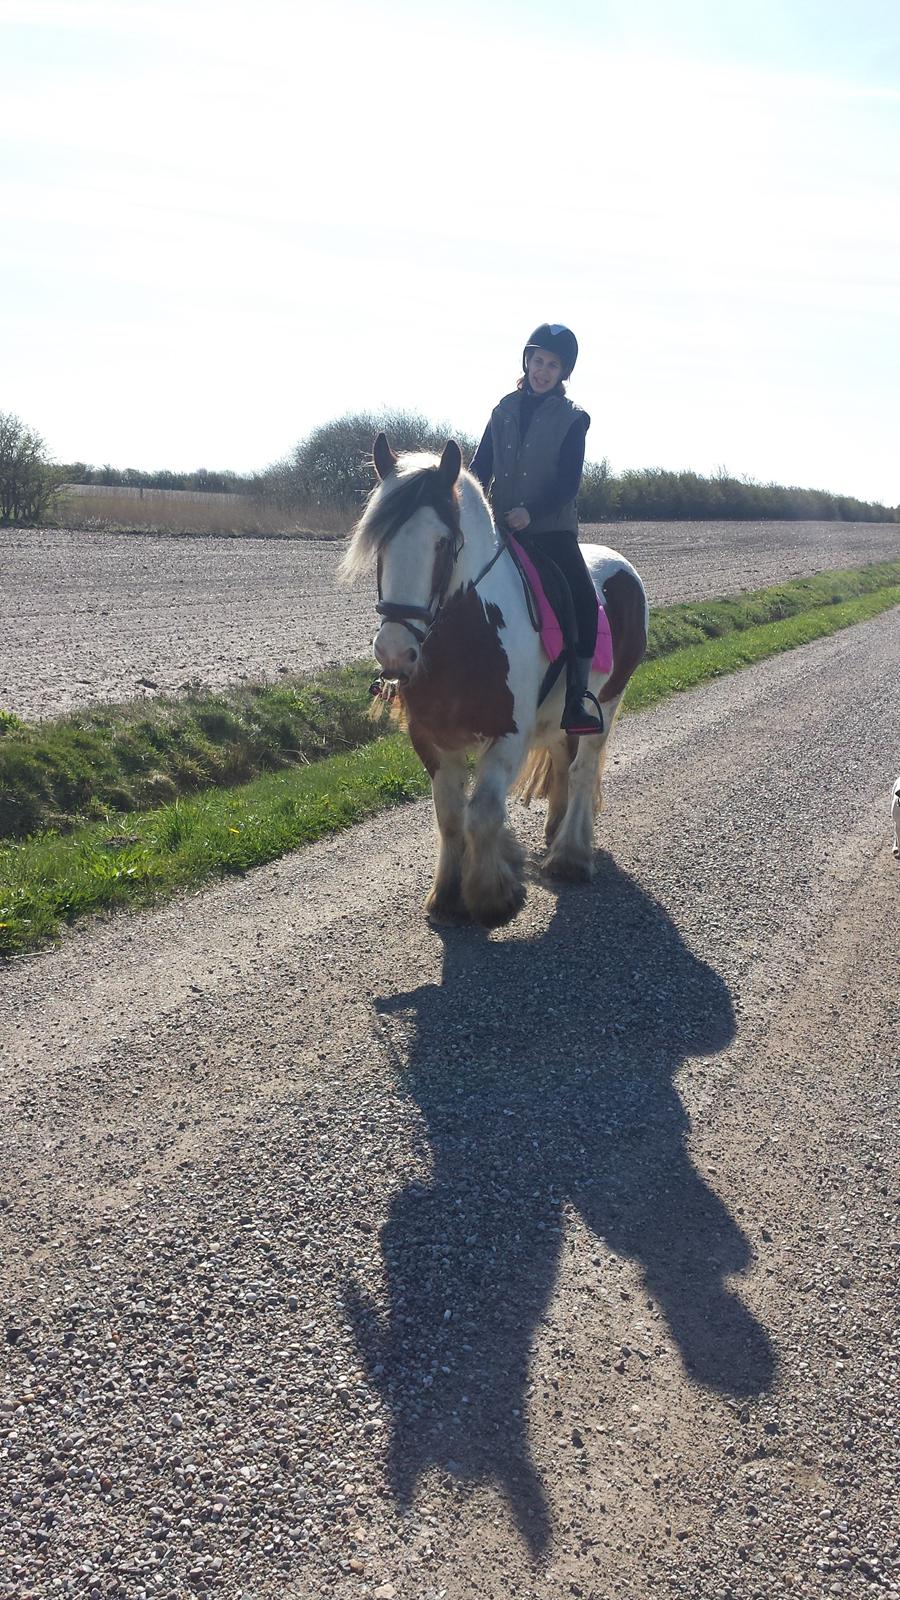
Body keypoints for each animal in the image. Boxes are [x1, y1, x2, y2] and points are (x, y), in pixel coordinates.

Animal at [337, 432, 643, 934]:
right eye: (380, 545)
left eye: (444, 544)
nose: (395, 652)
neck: (466, 634)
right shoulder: (431, 739)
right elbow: (449, 815)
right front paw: (447, 893)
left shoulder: (508, 737)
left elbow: (482, 813)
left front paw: (491, 896)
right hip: (558, 715)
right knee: (563, 761)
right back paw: (555, 832)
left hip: (608, 701)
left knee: (582, 770)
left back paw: (571, 856)